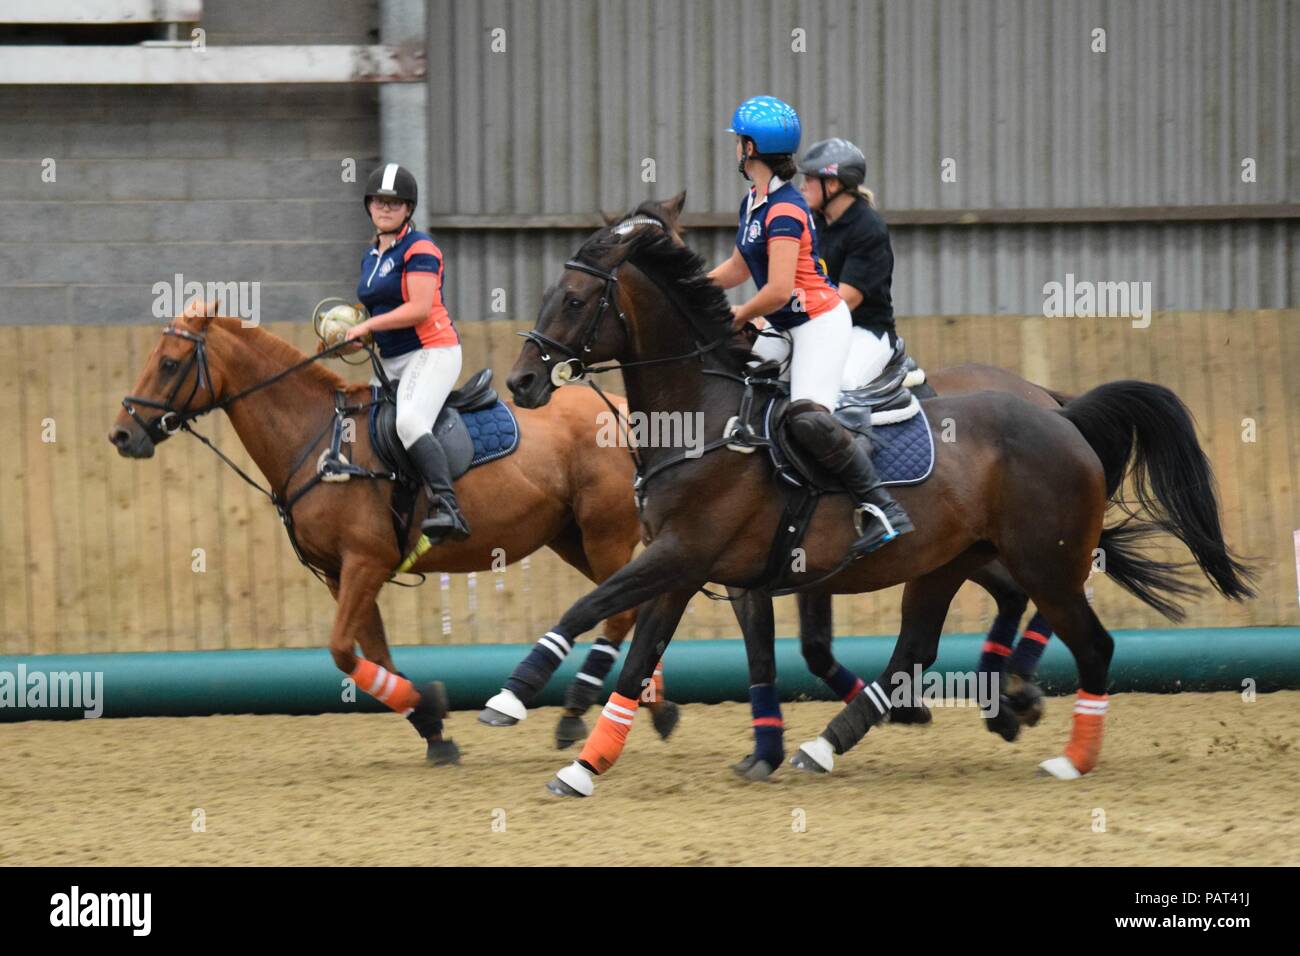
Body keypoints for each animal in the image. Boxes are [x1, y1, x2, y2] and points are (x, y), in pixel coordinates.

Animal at [104, 299, 681, 764]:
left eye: (169, 363)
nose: (122, 434)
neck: (317, 439)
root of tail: (623, 410)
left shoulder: (365, 562)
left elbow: (342, 650)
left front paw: (430, 705)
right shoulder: (341, 574)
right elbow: (376, 655)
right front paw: (431, 727)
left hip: (603, 535)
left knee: (622, 611)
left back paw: (576, 711)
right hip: (571, 539)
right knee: (633, 607)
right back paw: (655, 707)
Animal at [501, 221, 1253, 796]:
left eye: (574, 299)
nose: (523, 382)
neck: (704, 420)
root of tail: (1060, 415)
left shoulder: (681, 555)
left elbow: (590, 607)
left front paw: (517, 692)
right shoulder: (689, 569)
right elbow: (662, 655)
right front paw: (587, 765)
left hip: (1046, 562)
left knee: (1089, 641)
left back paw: (1066, 753)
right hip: (950, 560)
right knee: (920, 646)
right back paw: (845, 737)